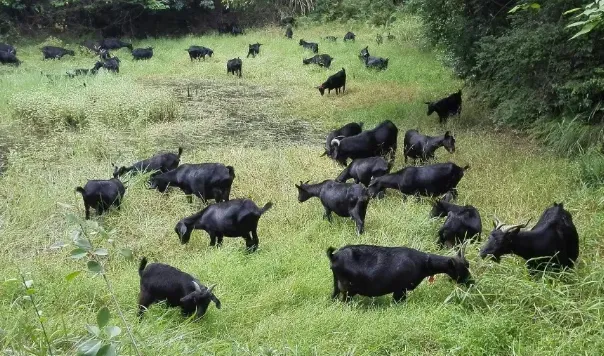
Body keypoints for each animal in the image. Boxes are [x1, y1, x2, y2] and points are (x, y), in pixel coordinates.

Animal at [326, 245, 472, 304]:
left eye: (468, 264)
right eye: (462, 268)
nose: (472, 282)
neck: (424, 263)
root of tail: (334, 256)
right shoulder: (400, 289)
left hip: (336, 284)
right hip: (347, 288)